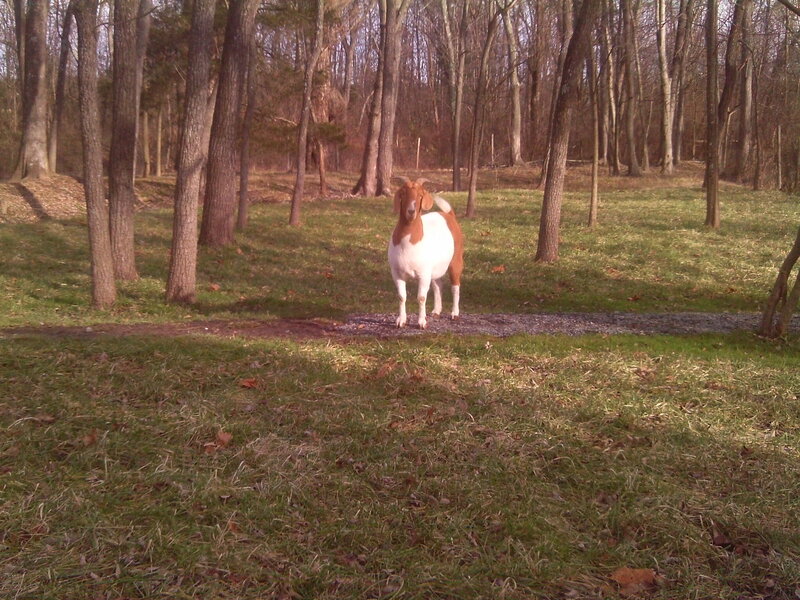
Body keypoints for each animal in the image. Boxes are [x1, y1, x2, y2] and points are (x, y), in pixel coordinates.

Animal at [388, 177, 464, 329]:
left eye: (420, 195)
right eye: (403, 193)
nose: (411, 211)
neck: (408, 243)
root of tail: (449, 215)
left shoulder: (423, 274)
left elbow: (421, 297)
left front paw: (422, 322)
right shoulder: (397, 273)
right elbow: (401, 296)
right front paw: (401, 320)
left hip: (456, 261)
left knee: (455, 287)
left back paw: (455, 313)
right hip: (435, 269)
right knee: (438, 285)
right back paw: (436, 311)